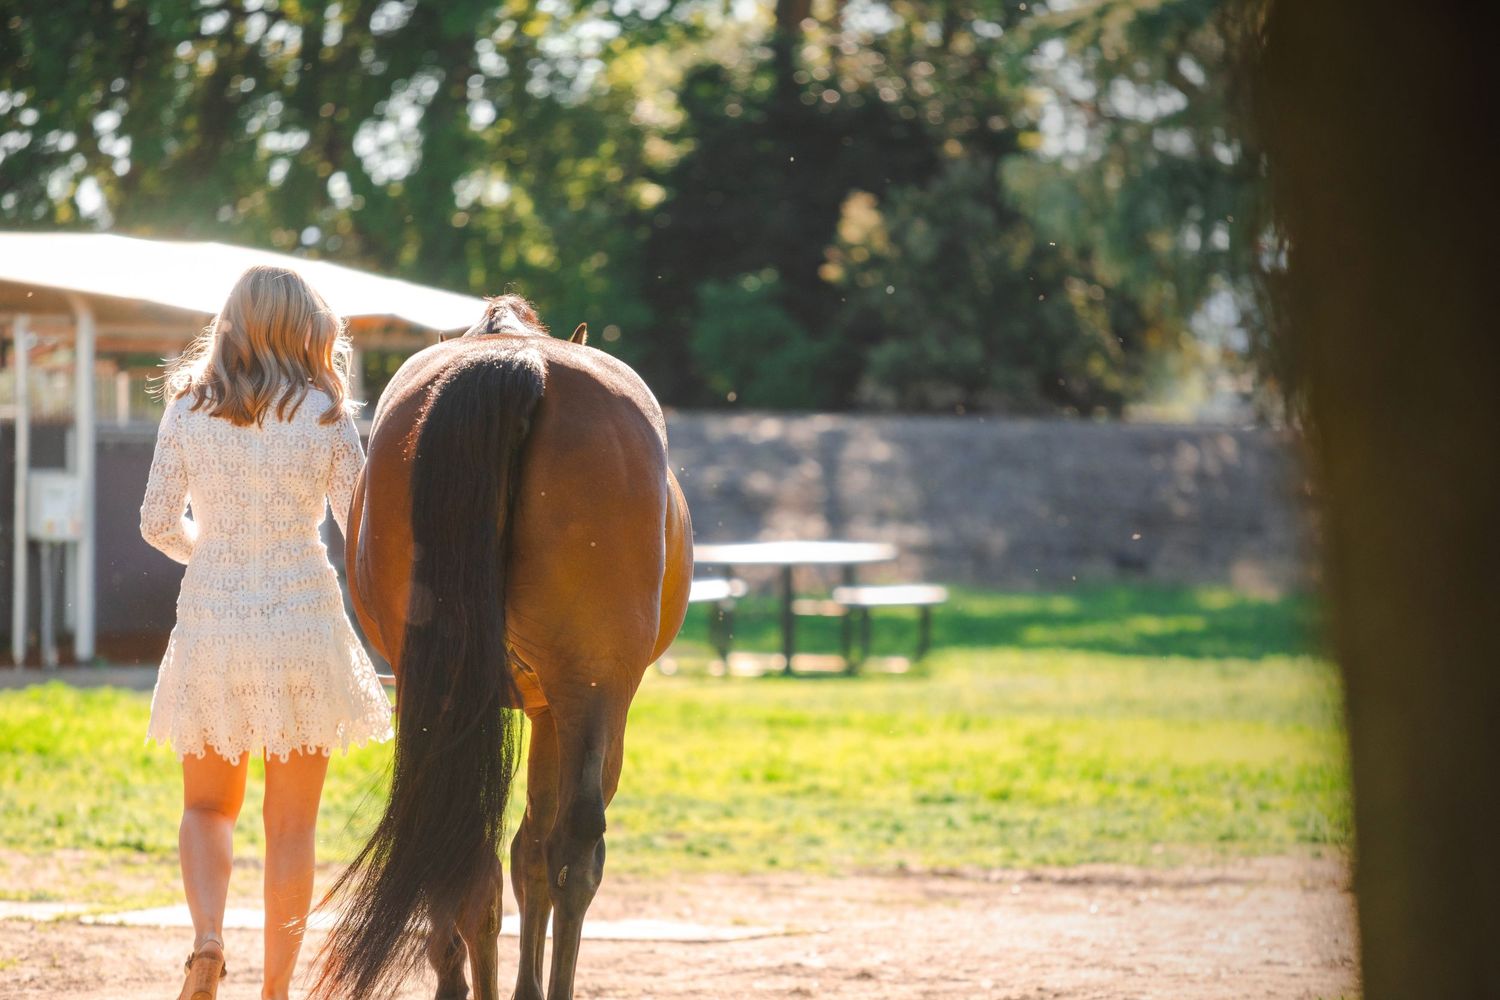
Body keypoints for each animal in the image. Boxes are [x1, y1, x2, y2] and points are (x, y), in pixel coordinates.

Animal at [311, 295, 693, 1000]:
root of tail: (518, 362)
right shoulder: (564, 708)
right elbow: (539, 850)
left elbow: (520, 853)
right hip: (593, 689)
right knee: (569, 848)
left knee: (463, 848)